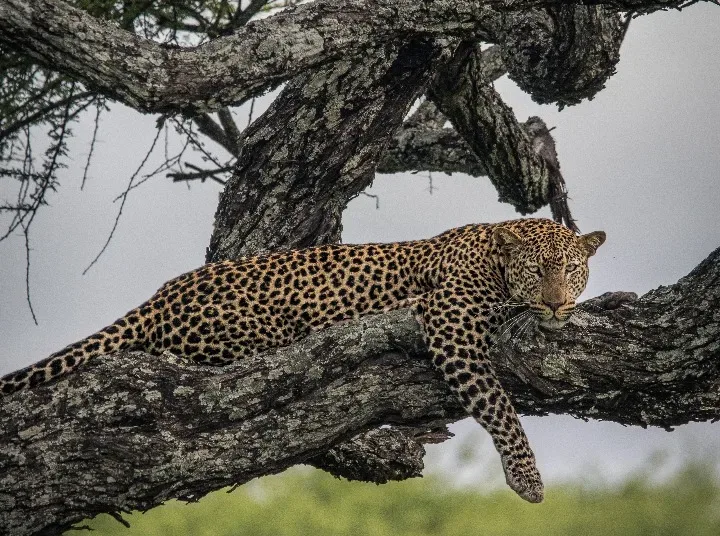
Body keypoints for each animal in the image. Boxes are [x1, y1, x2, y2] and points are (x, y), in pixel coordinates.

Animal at [0, 218, 605, 503]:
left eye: (572, 270)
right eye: (538, 270)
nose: (558, 303)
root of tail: (158, 297)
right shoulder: (450, 323)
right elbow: (499, 406)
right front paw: (527, 478)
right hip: (252, 334)